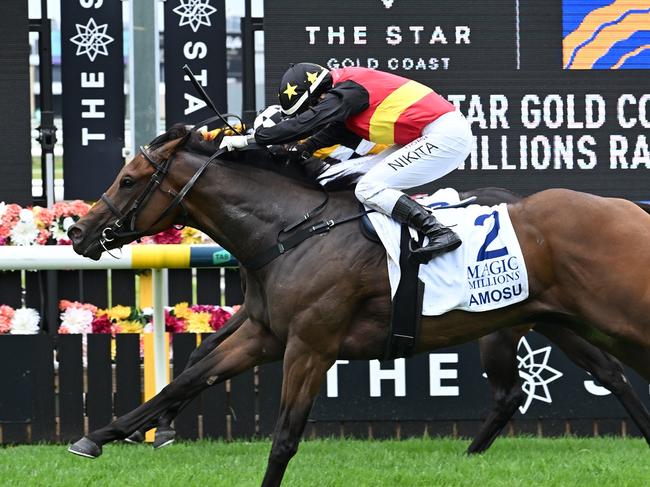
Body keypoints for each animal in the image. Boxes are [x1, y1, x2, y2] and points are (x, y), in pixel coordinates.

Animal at [64, 127, 648, 486]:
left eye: (129, 179)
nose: (78, 231)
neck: (290, 232)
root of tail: (629, 210)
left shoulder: (309, 347)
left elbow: (284, 437)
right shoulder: (263, 336)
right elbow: (185, 378)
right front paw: (98, 437)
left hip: (606, 316)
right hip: (555, 320)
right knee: (590, 378)